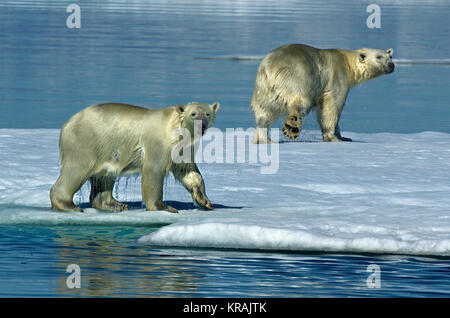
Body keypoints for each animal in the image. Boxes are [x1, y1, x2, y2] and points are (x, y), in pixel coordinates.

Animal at [51, 102, 220, 214]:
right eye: (193, 114)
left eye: (207, 114)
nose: (201, 126)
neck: (175, 128)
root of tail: (66, 125)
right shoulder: (158, 143)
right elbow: (153, 171)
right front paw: (164, 207)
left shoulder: (184, 148)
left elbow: (188, 171)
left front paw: (205, 201)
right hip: (85, 142)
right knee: (76, 170)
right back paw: (69, 205)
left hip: (105, 149)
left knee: (105, 176)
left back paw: (115, 205)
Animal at [251, 43, 396, 143]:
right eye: (379, 56)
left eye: (390, 56)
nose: (392, 65)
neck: (347, 62)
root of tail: (271, 68)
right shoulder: (337, 77)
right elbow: (332, 106)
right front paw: (333, 137)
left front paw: (344, 137)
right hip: (297, 78)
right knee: (300, 102)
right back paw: (291, 127)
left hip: (263, 88)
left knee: (264, 112)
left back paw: (263, 139)